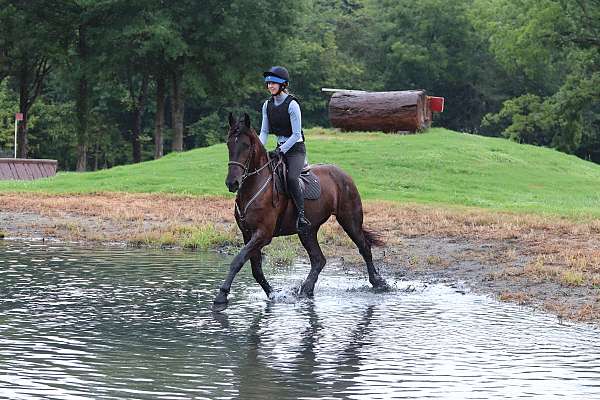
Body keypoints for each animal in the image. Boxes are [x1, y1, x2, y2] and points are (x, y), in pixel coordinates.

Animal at [214, 114, 390, 310]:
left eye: (246, 145)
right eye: (228, 144)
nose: (232, 183)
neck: (254, 186)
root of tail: (343, 173)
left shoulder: (262, 235)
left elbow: (237, 261)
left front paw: (222, 296)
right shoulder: (248, 234)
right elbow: (256, 269)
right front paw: (273, 294)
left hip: (349, 220)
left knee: (364, 248)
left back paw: (378, 282)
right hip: (307, 230)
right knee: (318, 259)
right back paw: (306, 289)